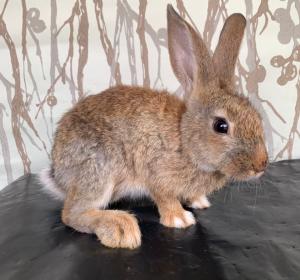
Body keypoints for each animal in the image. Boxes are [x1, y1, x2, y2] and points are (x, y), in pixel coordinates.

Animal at [39, 4, 268, 249]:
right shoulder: (156, 172)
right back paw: (120, 228)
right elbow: (164, 196)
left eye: (256, 116)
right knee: (71, 214)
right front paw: (180, 218)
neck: (185, 139)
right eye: (221, 126)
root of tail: (59, 173)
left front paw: (198, 201)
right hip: (100, 169)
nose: (261, 164)